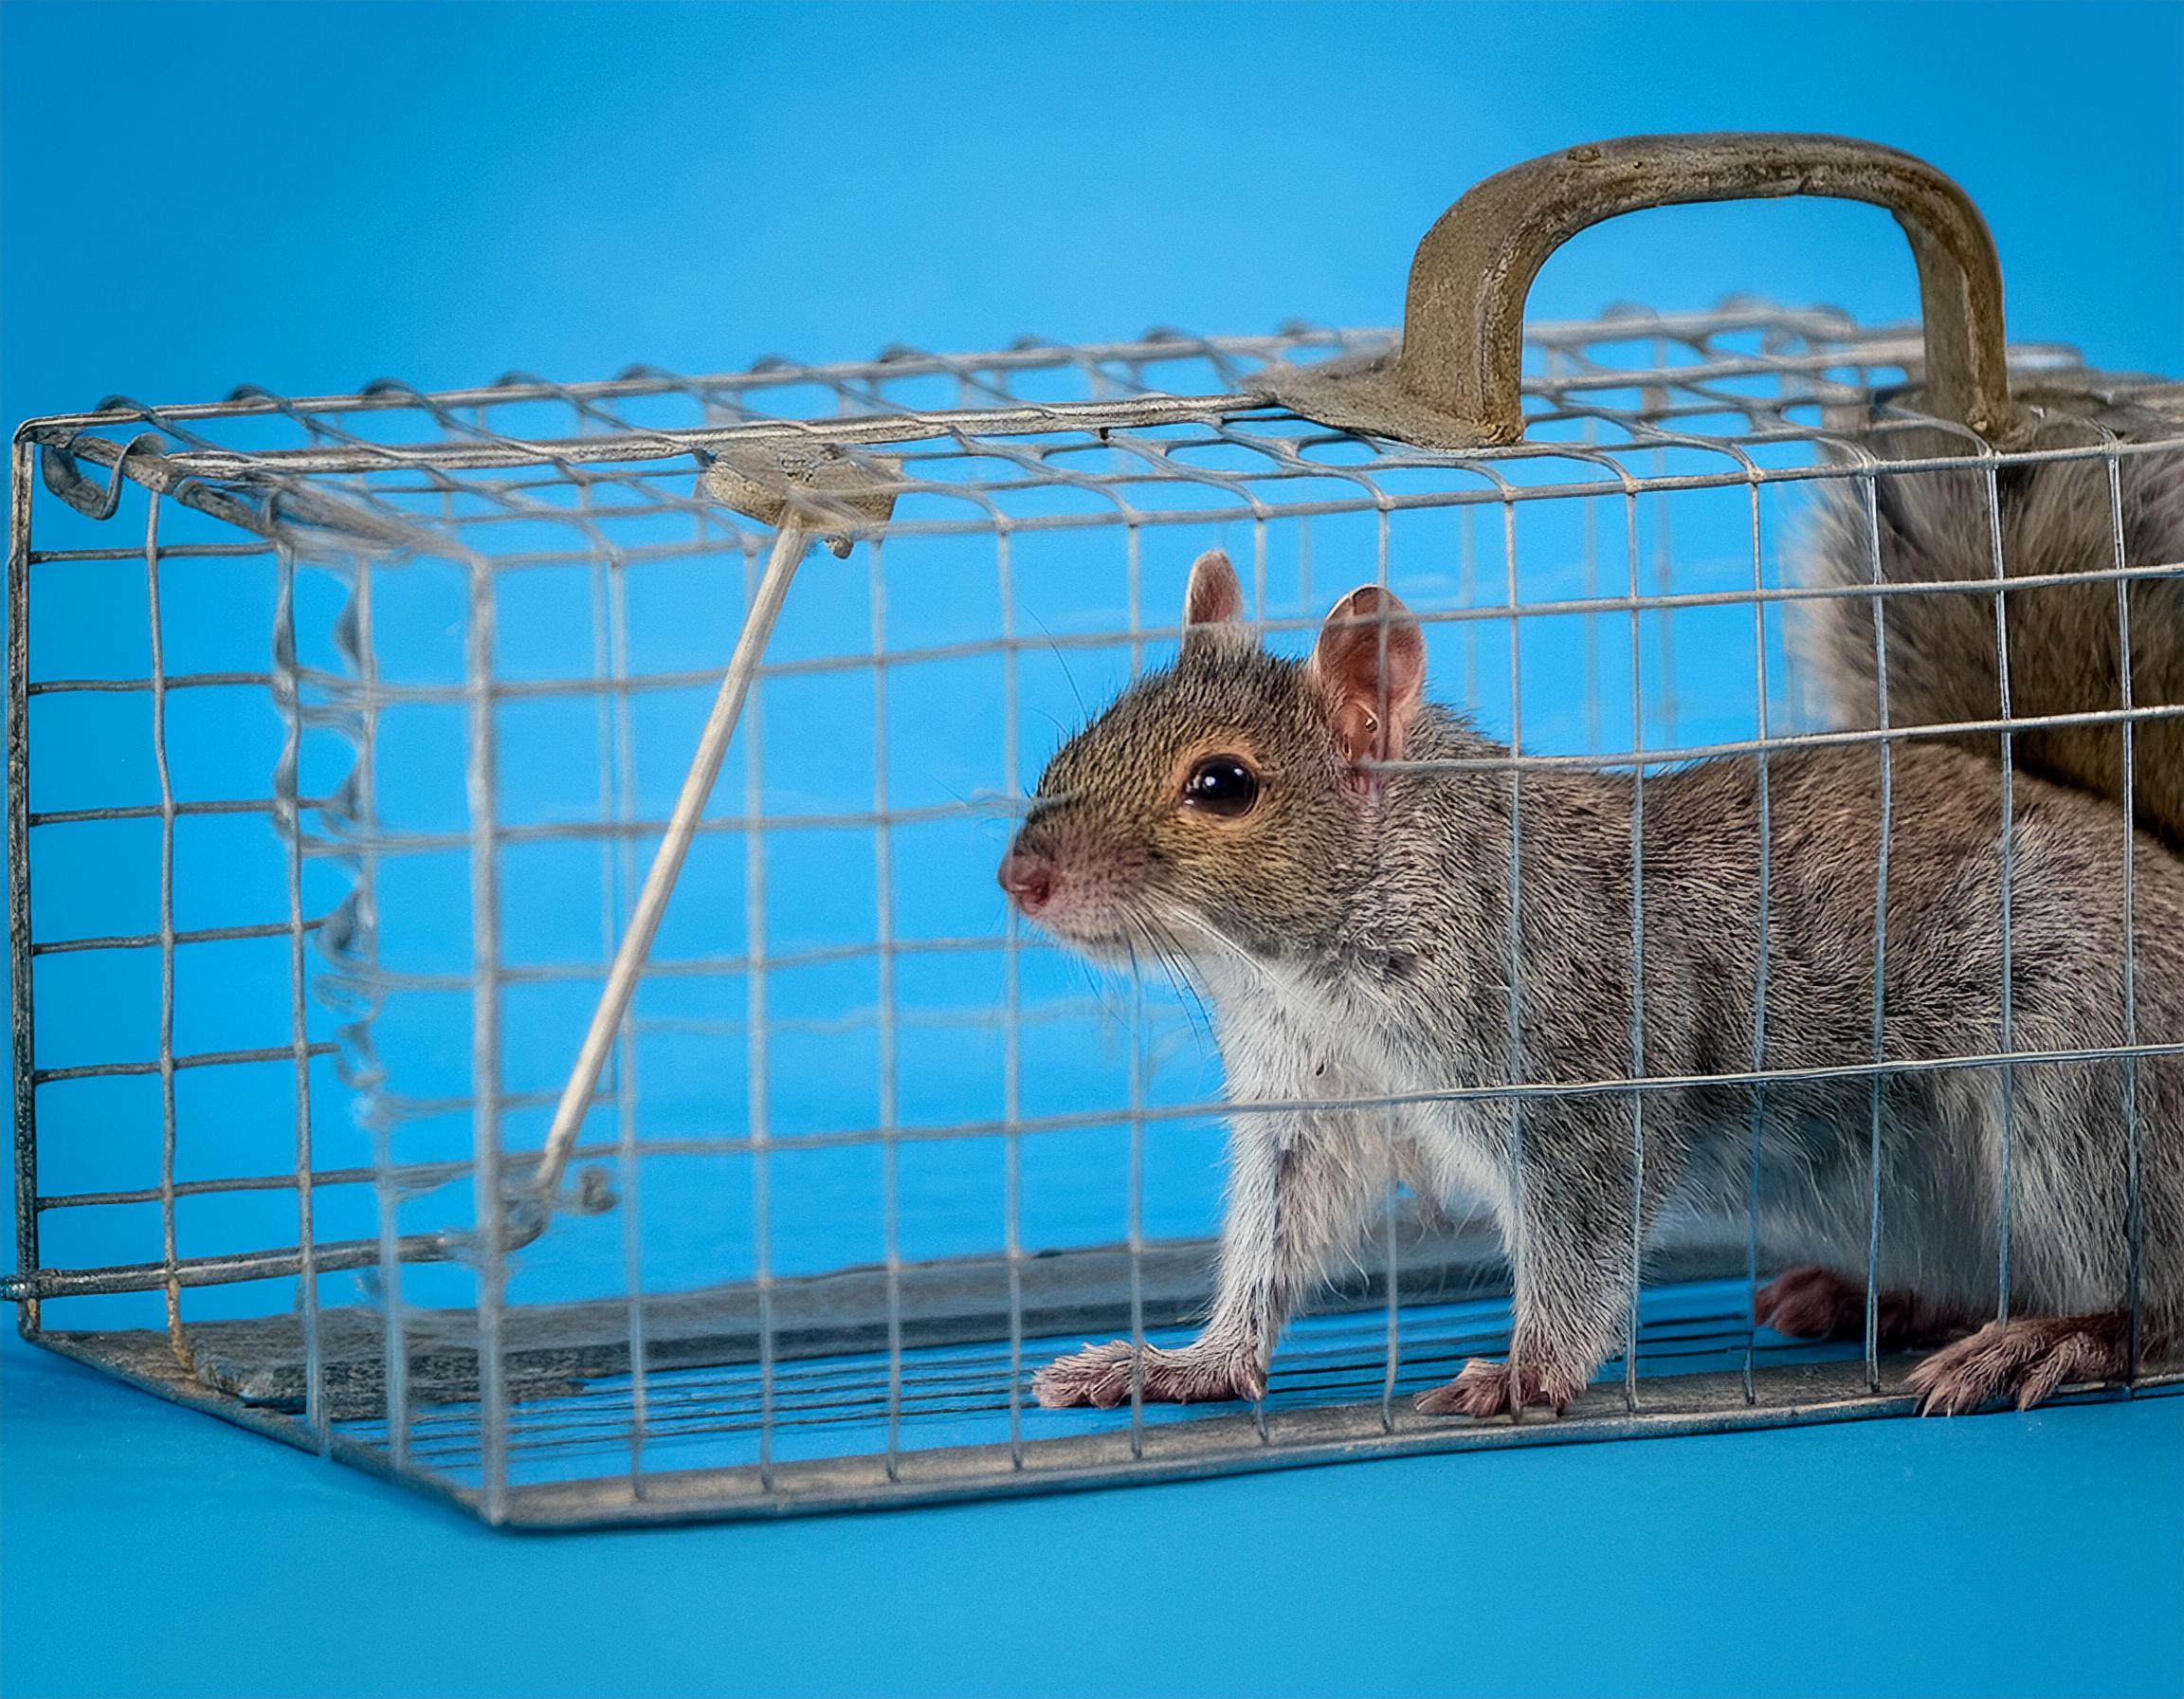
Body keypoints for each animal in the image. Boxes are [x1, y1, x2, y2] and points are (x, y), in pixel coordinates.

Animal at [999, 455, 2183, 1419]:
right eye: (1090, 729)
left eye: (1224, 784)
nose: (1020, 878)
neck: (1316, 967)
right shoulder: (1311, 1102)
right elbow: (1277, 1244)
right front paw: (1183, 1364)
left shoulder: (1581, 1066)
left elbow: (1582, 1241)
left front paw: (1529, 1371)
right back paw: (1871, 1297)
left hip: (2083, 1088)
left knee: (2156, 1294)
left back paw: (2054, 1340)